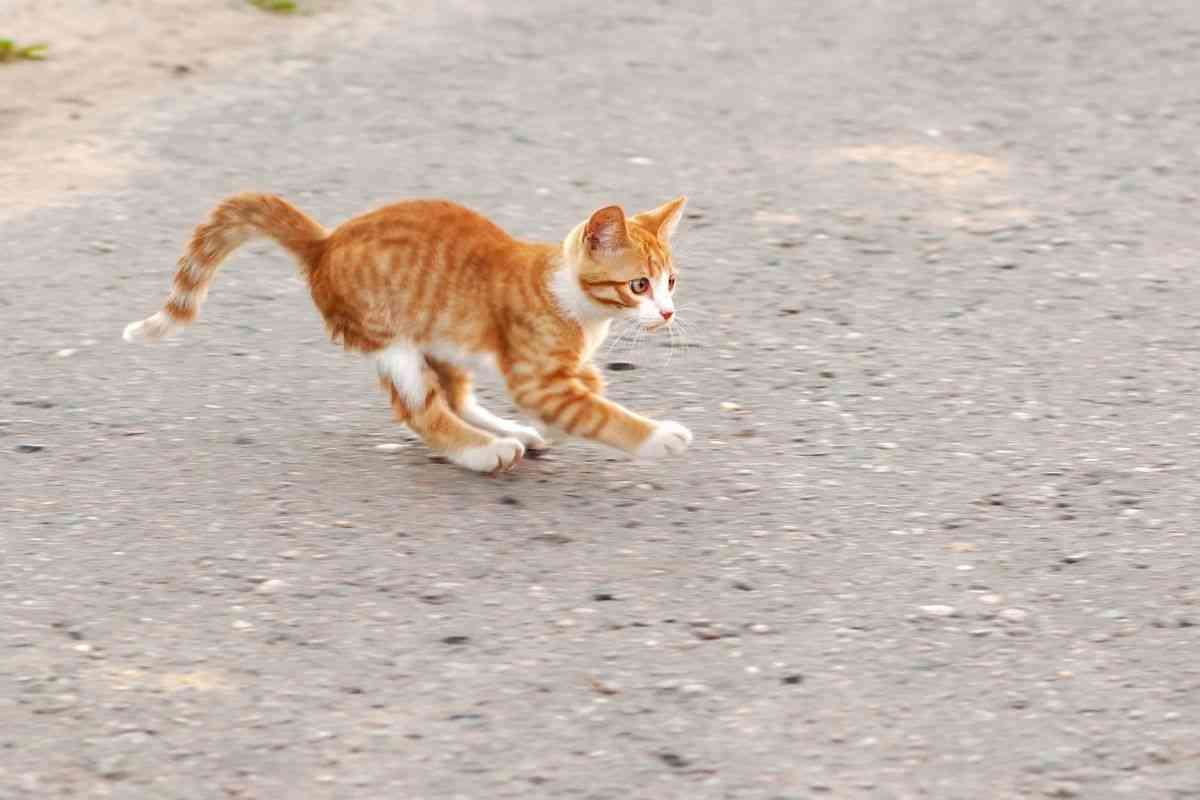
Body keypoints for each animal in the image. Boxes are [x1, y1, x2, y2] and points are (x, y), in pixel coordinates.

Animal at [123, 191, 696, 472]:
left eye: (670, 281)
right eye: (638, 285)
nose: (667, 313)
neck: (579, 307)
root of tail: (325, 242)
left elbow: (589, 389)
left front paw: (564, 415)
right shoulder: (538, 379)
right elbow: (599, 413)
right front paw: (656, 437)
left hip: (442, 336)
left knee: (455, 396)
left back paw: (511, 434)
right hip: (391, 338)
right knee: (422, 410)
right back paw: (482, 451)